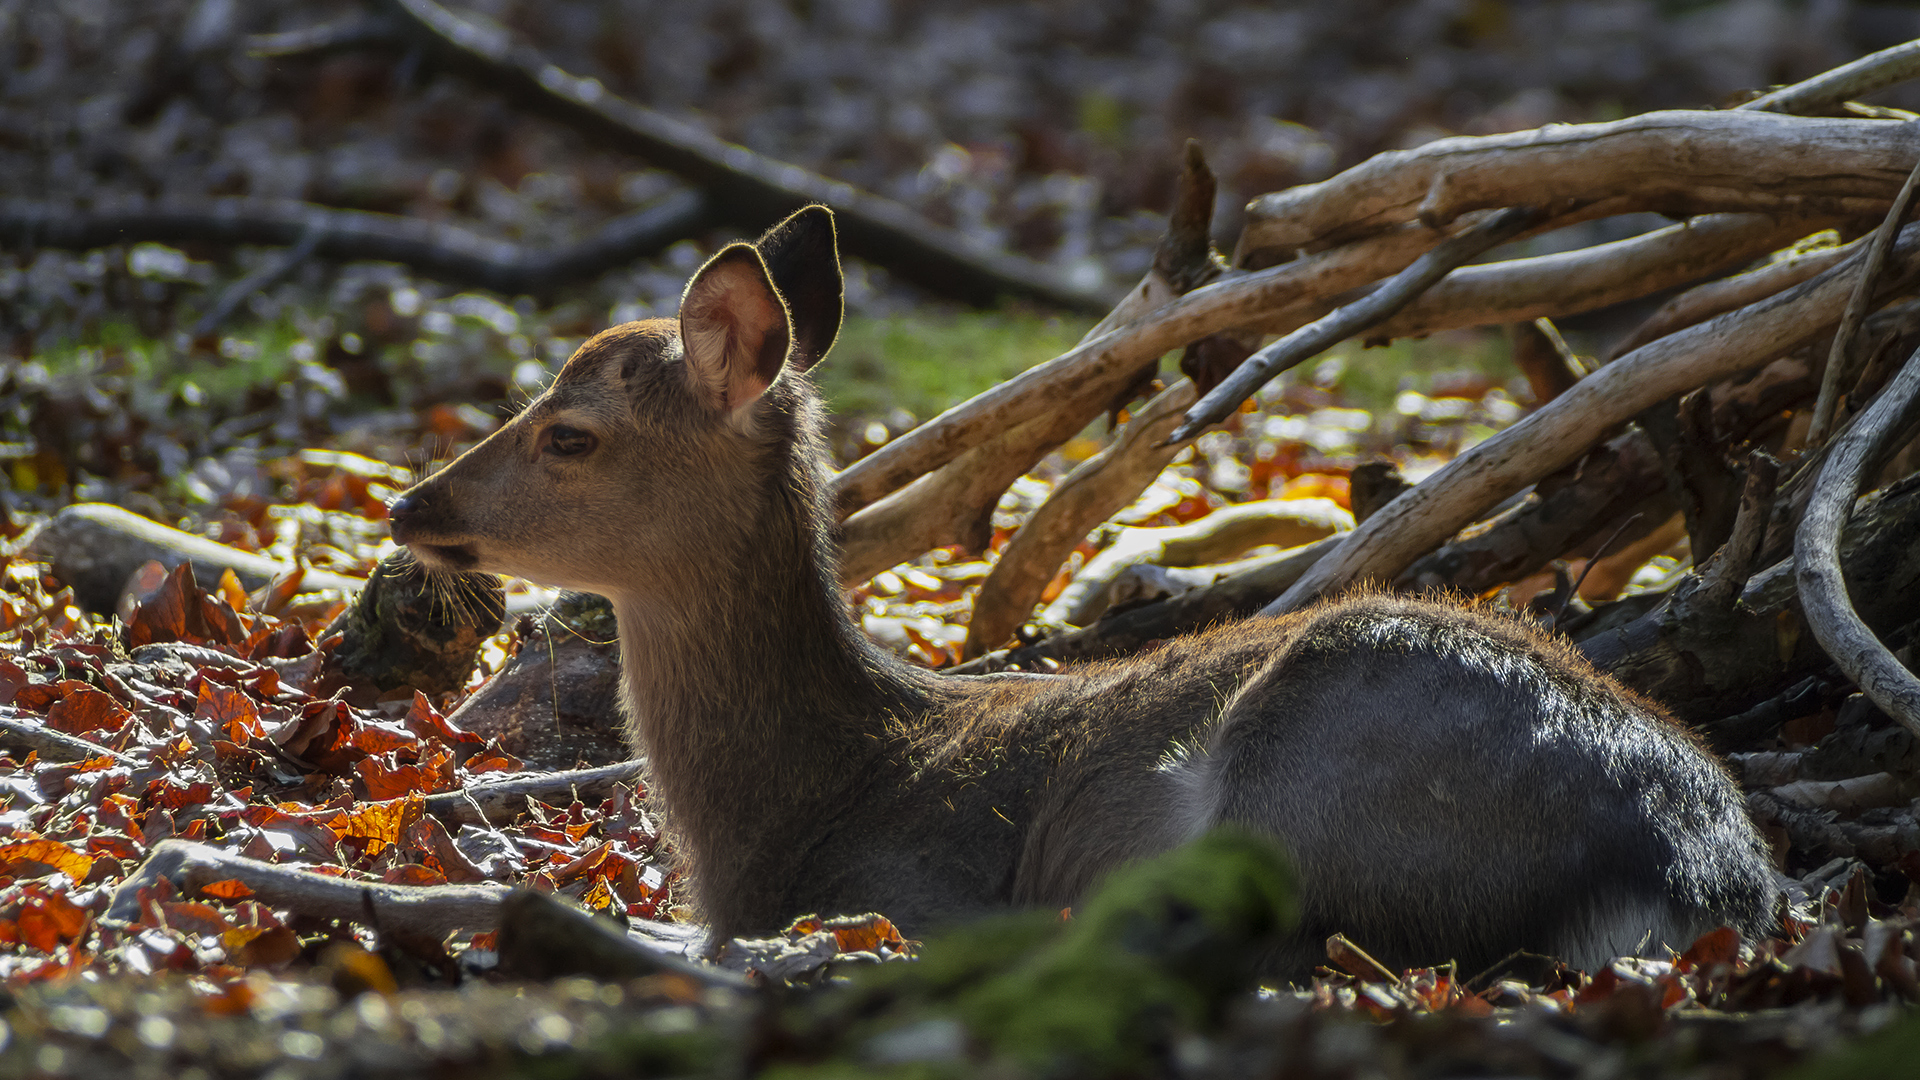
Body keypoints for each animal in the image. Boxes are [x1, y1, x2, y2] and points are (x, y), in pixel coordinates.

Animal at [382, 201, 1774, 976]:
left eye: (570, 434)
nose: (411, 505)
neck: (785, 816)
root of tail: (1696, 870)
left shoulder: (906, 887)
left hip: (1315, 784)